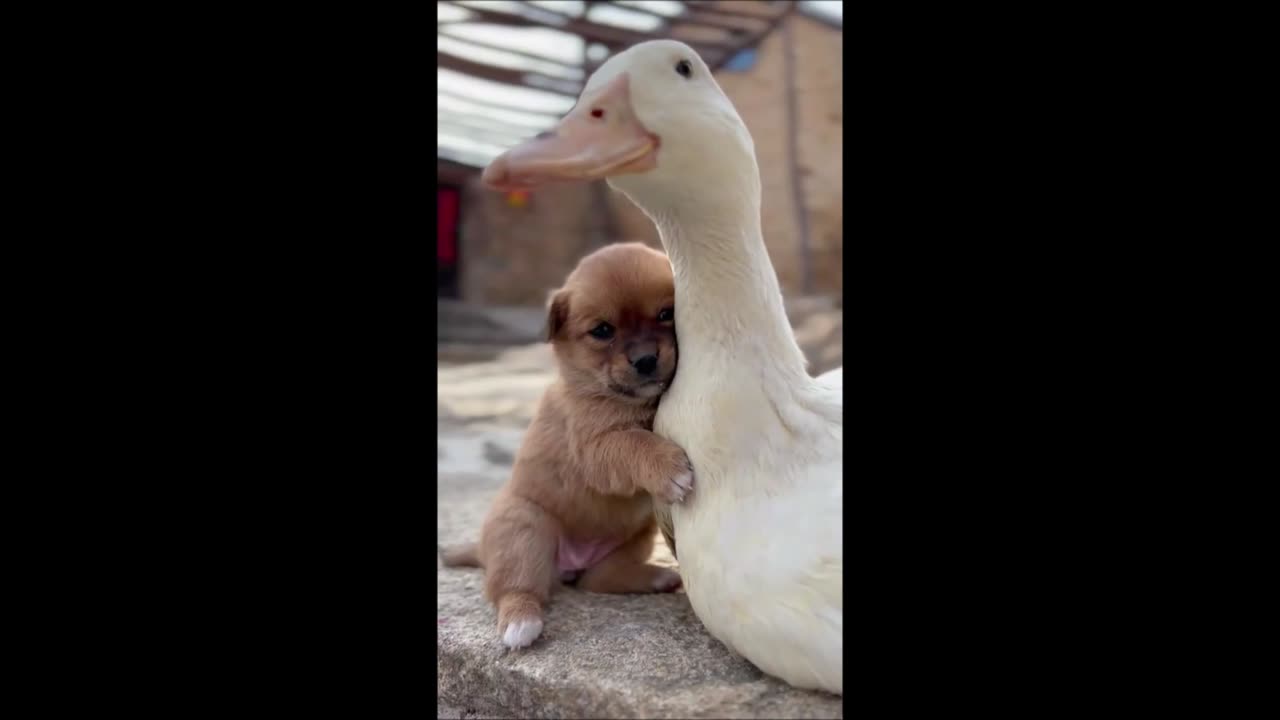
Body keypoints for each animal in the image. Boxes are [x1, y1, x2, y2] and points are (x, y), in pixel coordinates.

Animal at [445, 242, 696, 650]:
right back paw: (521, 622)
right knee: (515, 587)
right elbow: (635, 441)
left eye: (665, 314)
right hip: (526, 529)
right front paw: (669, 467)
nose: (645, 360)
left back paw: (658, 577)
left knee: (598, 580)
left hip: (635, 536)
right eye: (603, 331)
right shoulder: (595, 448)